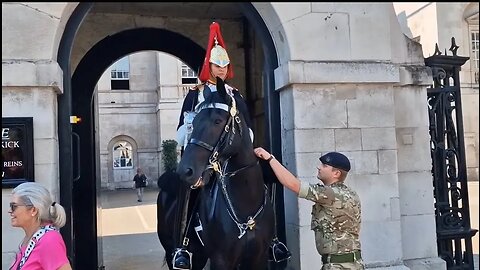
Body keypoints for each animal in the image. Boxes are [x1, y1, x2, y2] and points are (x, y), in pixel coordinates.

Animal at [156, 77, 272, 268]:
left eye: (217, 121)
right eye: (193, 123)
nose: (185, 171)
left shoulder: (257, 258)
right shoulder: (221, 260)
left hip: (199, 255)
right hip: (172, 250)